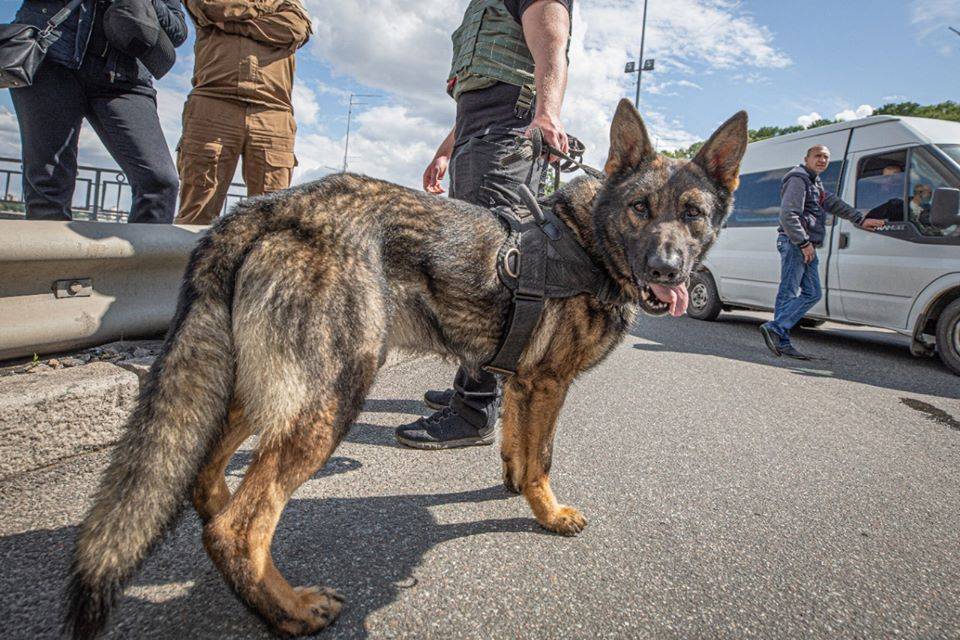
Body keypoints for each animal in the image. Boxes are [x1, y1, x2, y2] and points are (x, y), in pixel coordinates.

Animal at [63, 100, 752, 636]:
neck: (590, 242)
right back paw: (290, 610)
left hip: (263, 390)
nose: (667, 270)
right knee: (241, 526)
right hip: (332, 395)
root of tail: (265, 209)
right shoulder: (547, 385)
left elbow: (517, 447)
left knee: (208, 480)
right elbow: (543, 458)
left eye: (693, 214)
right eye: (641, 208)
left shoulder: (522, 386)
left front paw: (515, 485)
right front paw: (549, 514)